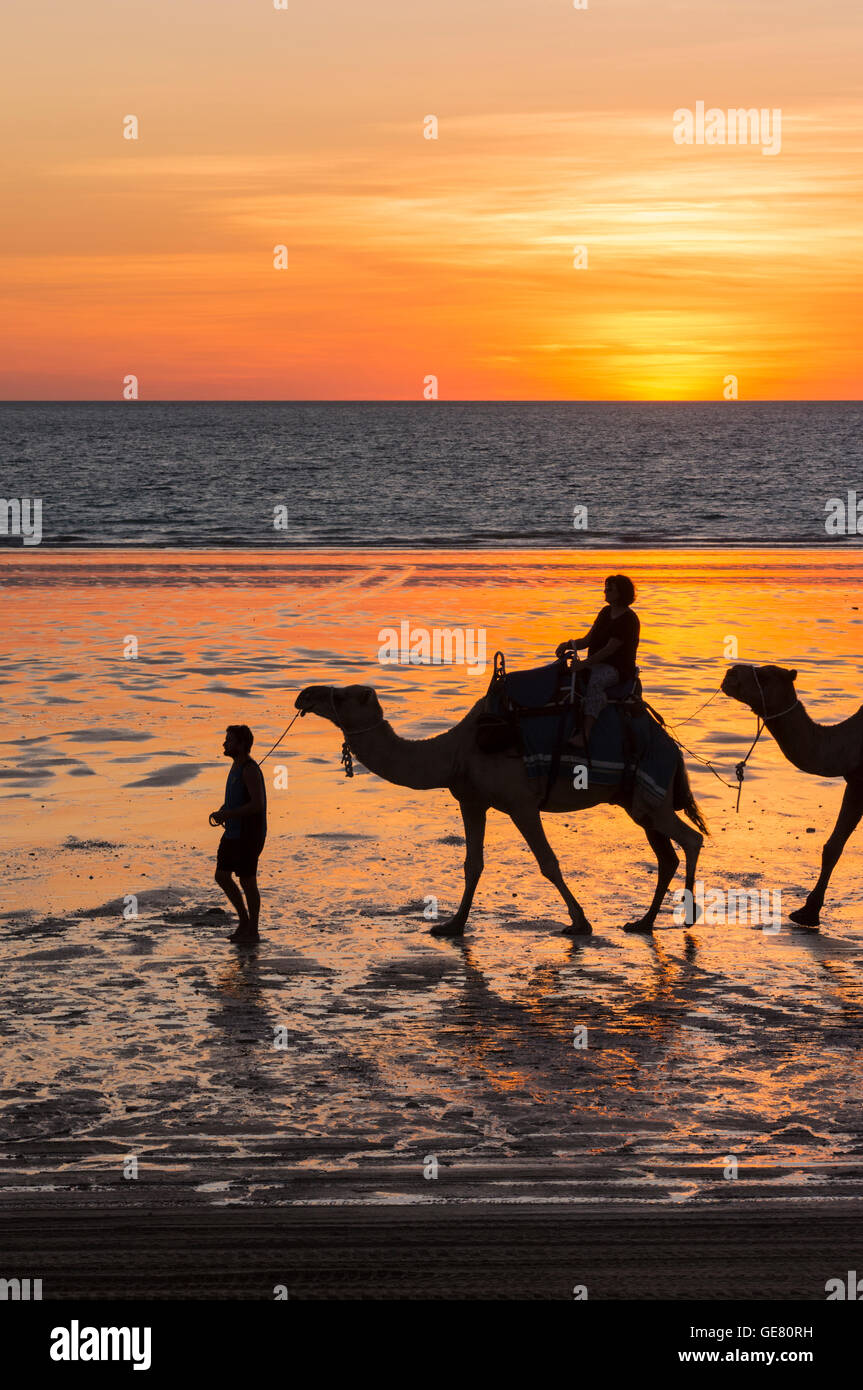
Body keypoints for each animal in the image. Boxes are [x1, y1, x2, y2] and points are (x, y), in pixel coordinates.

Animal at [296, 681, 705, 934]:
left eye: (342, 696)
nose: (304, 695)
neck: (455, 752)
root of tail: (673, 748)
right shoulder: (472, 800)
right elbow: (472, 864)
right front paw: (452, 927)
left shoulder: (521, 804)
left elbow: (548, 863)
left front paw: (579, 923)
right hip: (637, 803)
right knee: (667, 855)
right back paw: (643, 922)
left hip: (651, 797)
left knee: (692, 839)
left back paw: (687, 919)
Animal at [722, 667, 861, 928]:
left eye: (765, 676)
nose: (730, 673)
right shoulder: (856, 779)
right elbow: (832, 847)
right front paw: (807, 912)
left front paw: (808, 913)